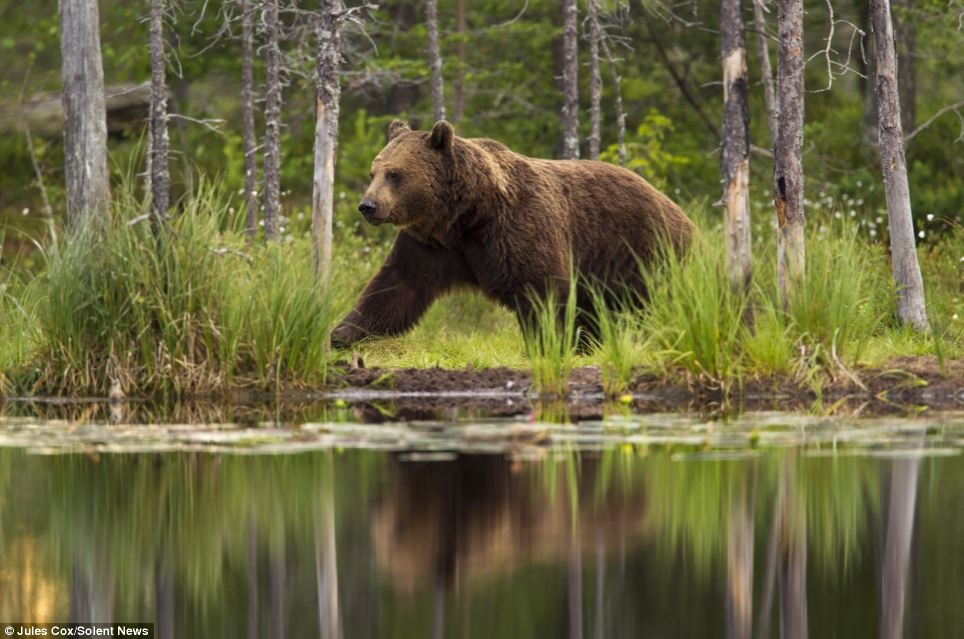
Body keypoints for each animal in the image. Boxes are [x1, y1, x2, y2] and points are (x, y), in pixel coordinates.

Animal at [332, 120, 692, 350]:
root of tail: (681, 213)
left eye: (395, 174)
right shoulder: (429, 246)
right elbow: (395, 288)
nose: (368, 206)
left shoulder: (514, 229)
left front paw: (550, 344)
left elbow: (541, 289)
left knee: (657, 299)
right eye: (373, 172)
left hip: (643, 250)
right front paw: (342, 332)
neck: (463, 216)